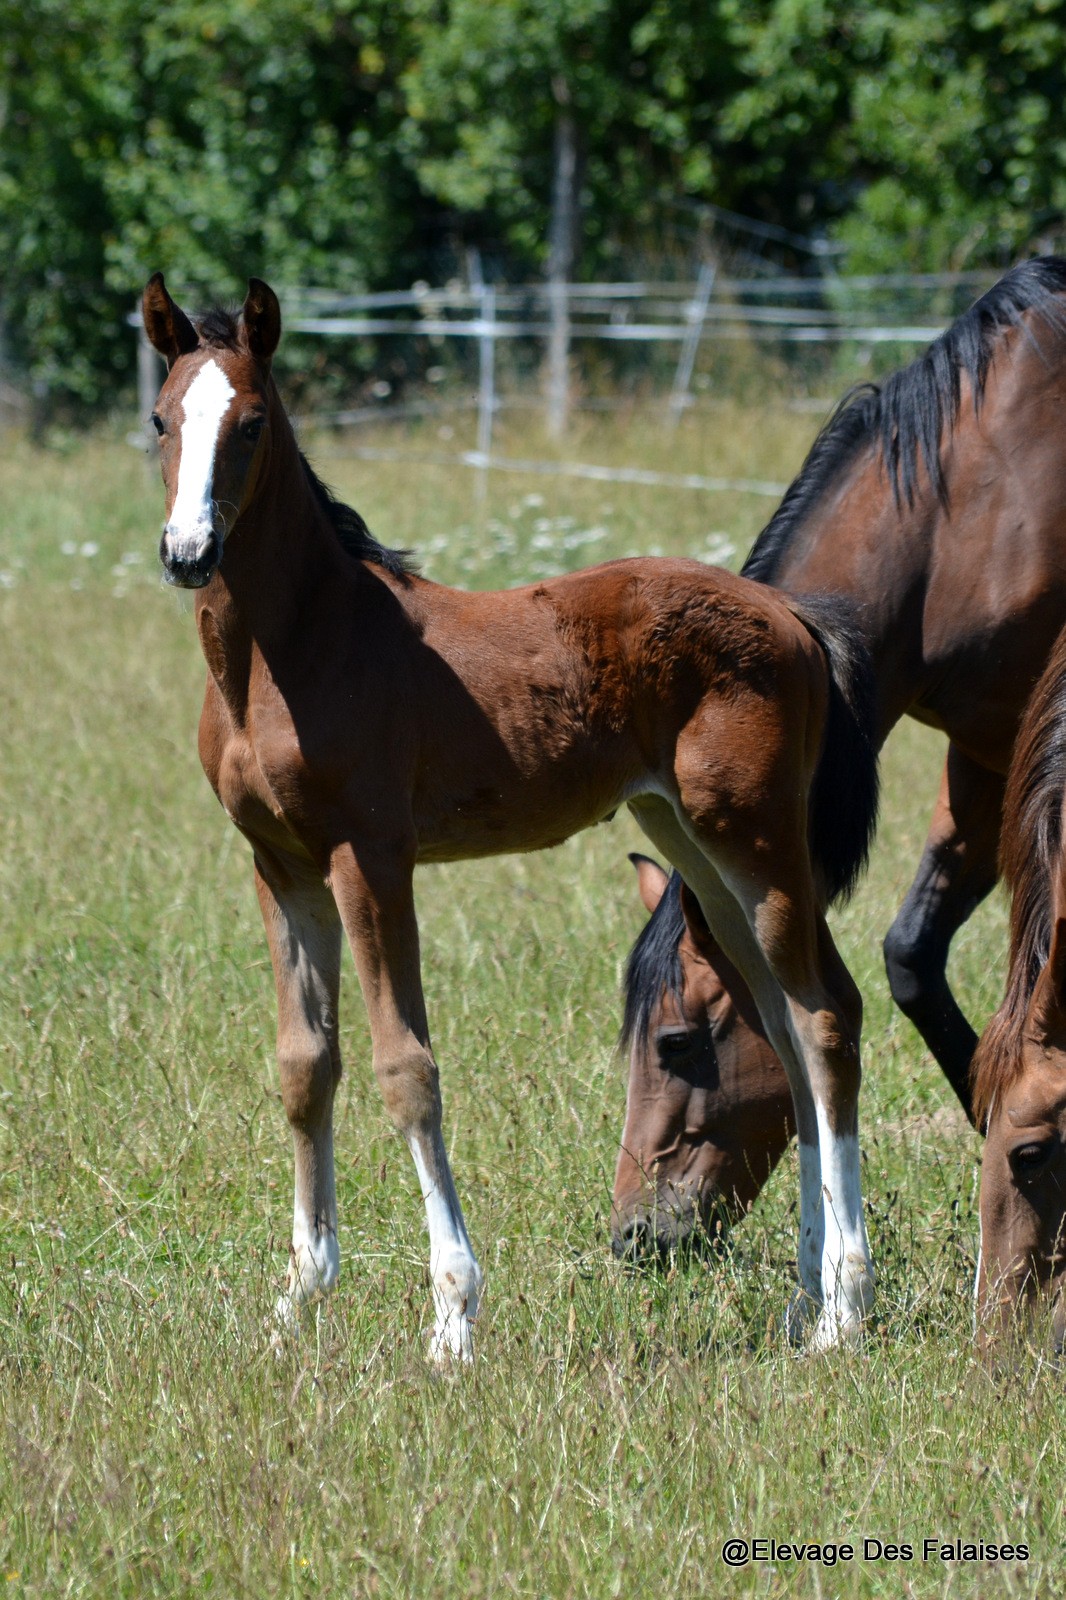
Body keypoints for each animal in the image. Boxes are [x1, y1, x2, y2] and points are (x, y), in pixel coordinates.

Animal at [139, 278, 870, 1363]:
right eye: (160, 421)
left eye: (253, 423)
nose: (190, 554)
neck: (290, 652)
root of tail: (795, 619)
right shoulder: (279, 864)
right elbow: (306, 1066)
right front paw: (298, 1300)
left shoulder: (370, 857)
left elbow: (406, 1066)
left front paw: (452, 1316)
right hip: (694, 846)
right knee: (780, 1023)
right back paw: (804, 1303)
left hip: (759, 840)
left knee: (825, 1018)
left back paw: (844, 1309)